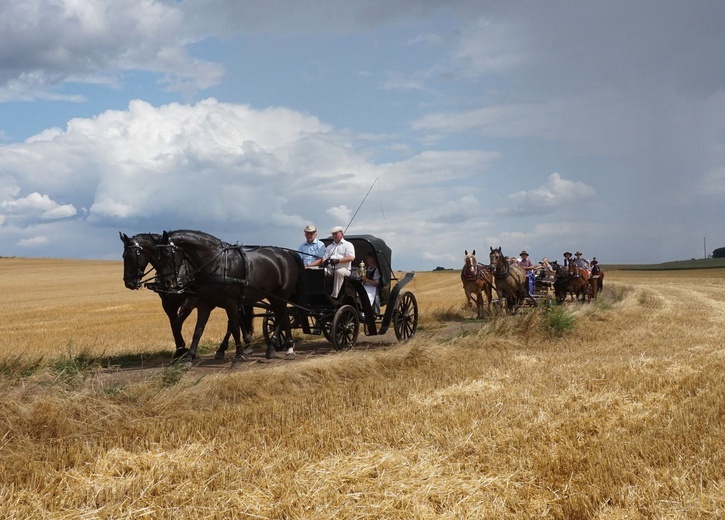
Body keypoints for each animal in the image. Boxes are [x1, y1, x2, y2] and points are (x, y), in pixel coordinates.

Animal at [120, 233, 253, 358]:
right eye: (123, 256)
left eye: (131, 256)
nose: (129, 283)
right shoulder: (168, 304)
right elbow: (173, 325)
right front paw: (179, 350)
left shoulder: (189, 302)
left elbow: (177, 324)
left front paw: (183, 350)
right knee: (237, 318)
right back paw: (243, 343)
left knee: (233, 320)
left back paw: (229, 347)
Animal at [154, 231, 302, 362]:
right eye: (157, 256)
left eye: (166, 253)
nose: (166, 282)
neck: (217, 264)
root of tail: (286, 253)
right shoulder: (204, 302)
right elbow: (198, 329)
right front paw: (189, 356)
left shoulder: (230, 302)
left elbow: (235, 327)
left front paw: (239, 354)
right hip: (273, 296)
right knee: (281, 317)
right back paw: (273, 348)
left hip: (281, 294)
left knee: (283, 317)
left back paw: (288, 349)